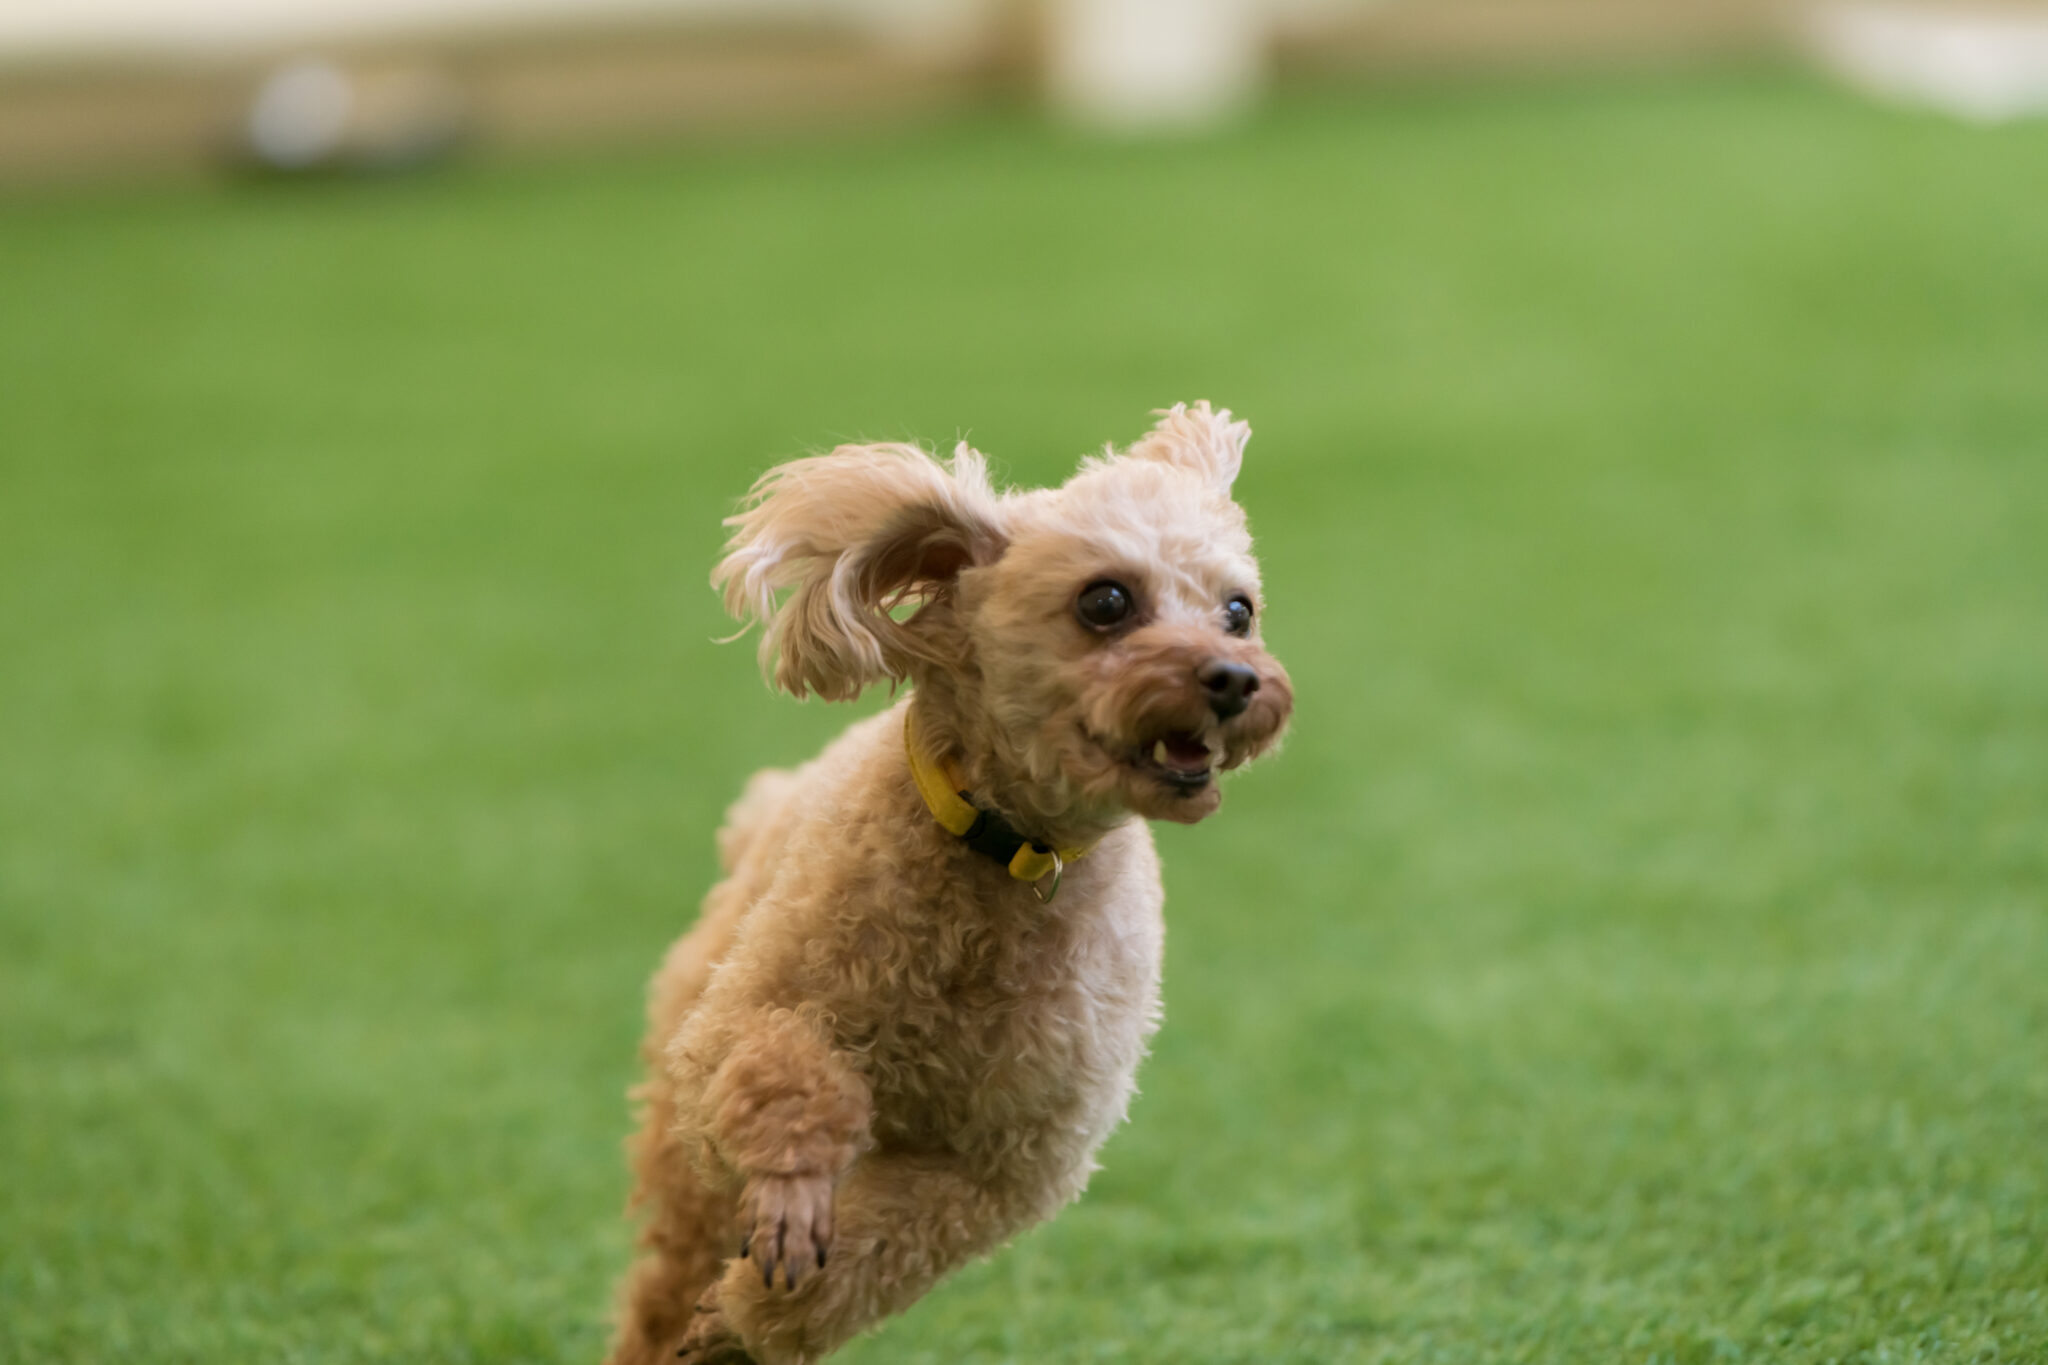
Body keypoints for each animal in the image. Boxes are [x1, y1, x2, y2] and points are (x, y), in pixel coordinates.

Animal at [598, 405, 1294, 1365]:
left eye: (1238, 612)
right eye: (1106, 601)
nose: (1236, 679)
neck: (1013, 854)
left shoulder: (1006, 1161)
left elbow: (872, 1253)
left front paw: (747, 1317)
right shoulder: (742, 1019)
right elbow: (783, 1074)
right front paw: (790, 1198)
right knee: (671, 1258)